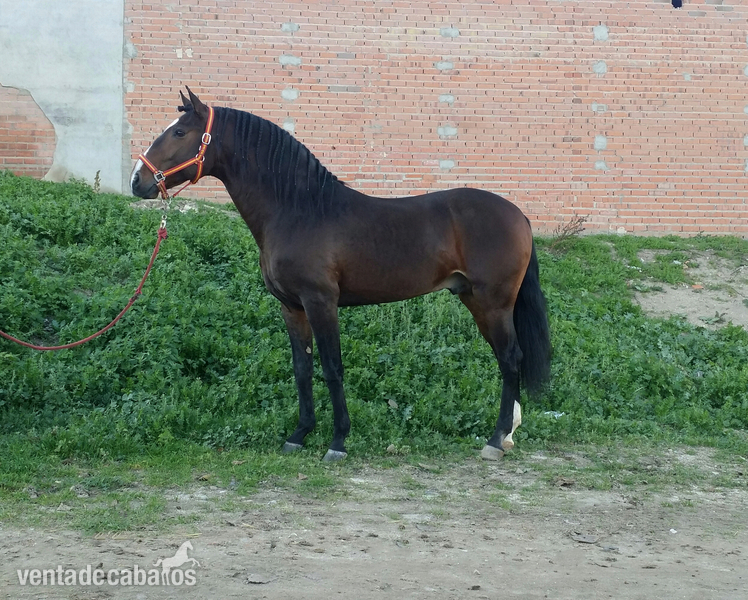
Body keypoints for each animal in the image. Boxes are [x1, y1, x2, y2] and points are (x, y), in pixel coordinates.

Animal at [130, 88, 551, 462]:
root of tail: (519, 215)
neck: (298, 209)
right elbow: (302, 369)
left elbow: (332, 368)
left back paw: (496, 440)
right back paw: (508, 434)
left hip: (493, 303)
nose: (138, 180)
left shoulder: (321, 302)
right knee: (506, 359)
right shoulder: (291, 307)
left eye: (179, 132)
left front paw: (338, 442)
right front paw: (298, 435)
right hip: (475, 300)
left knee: (510, 358)